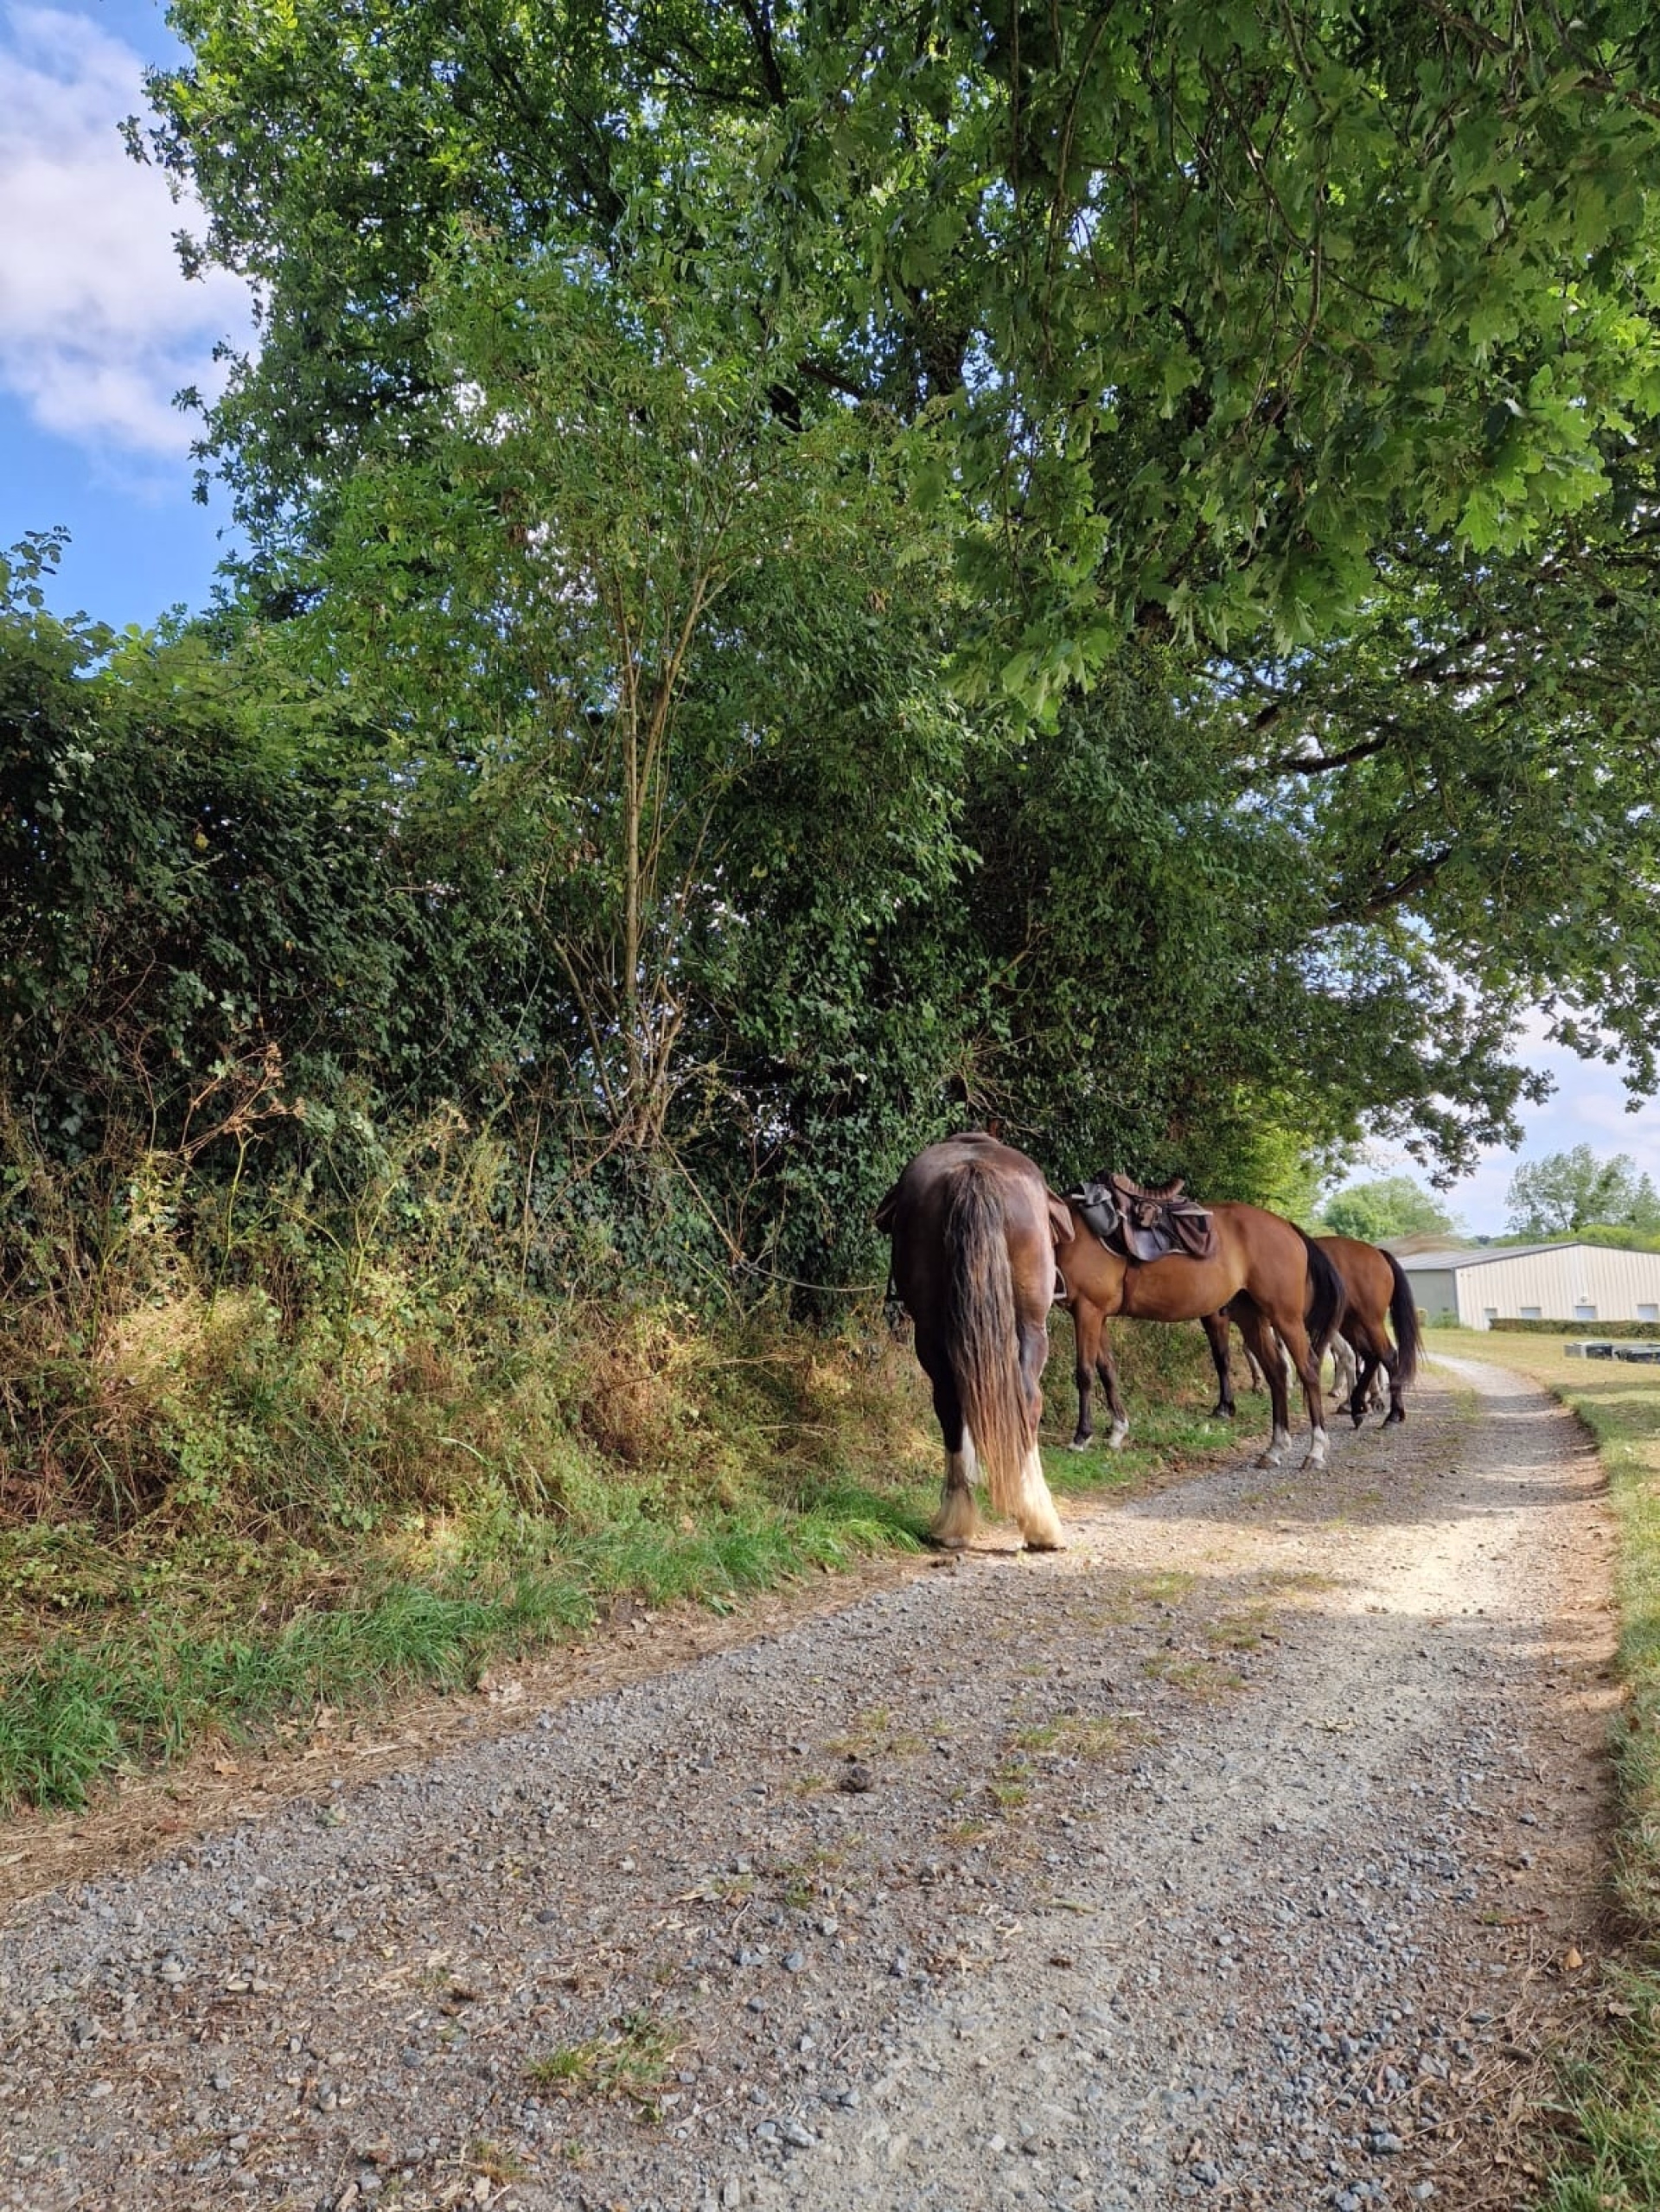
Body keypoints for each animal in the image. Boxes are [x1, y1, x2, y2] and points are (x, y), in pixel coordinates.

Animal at [876, 1132, 1071, 1551]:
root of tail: (974, 1171)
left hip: (933, 1331)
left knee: (953, 1404)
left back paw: (961, 1521)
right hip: (1031, 1326)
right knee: (1023, 1399)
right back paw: (1034, 1520)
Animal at [1059, 1200, 1346, 1468]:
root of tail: (1289, 1227)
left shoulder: (1087, 1311)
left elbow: (1084, 1373)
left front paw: (1081, 1437)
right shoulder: (1097, 1315)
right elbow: (1107, 1370)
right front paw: (1117, 1431)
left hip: (1286, 1317)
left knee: (1308, 1369)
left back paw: (1316, 1450)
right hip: (1252, 1319)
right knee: (1276, 1372)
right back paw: (1275, 1448)